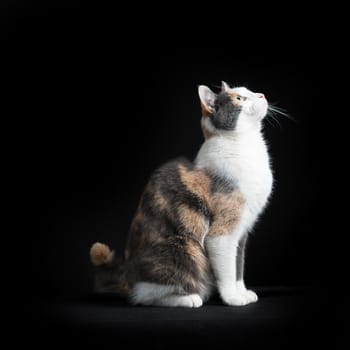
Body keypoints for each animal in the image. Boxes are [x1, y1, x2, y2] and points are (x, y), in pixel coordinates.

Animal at [90, 80, 274, 308]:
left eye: (249, 91)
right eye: (239, 98)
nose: (262, 95)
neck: (244, 144)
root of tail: (126, 278)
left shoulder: (242, 232)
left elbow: (238, 266)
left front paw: (243, 293)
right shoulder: (222, 231)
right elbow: (227, 270)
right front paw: (232, 298)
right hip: (184, 250)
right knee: (146, 295)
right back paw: (187, 298)